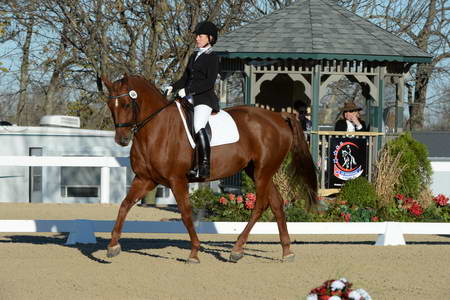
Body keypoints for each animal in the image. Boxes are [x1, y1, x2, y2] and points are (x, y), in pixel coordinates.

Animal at [103, 74, 316, 262]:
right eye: (110, 105)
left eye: (126, 104)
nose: (122, 140)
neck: (156, 129)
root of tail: (279, 116)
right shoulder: (145, 179)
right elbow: (124, 205)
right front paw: (113, 246)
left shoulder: (177, 180)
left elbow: (186, 213)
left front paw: (194, 252)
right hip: (257, 171)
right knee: (277, 203)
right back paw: (287, 251)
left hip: (263, 171)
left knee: (260, 205)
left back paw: (237, 249)